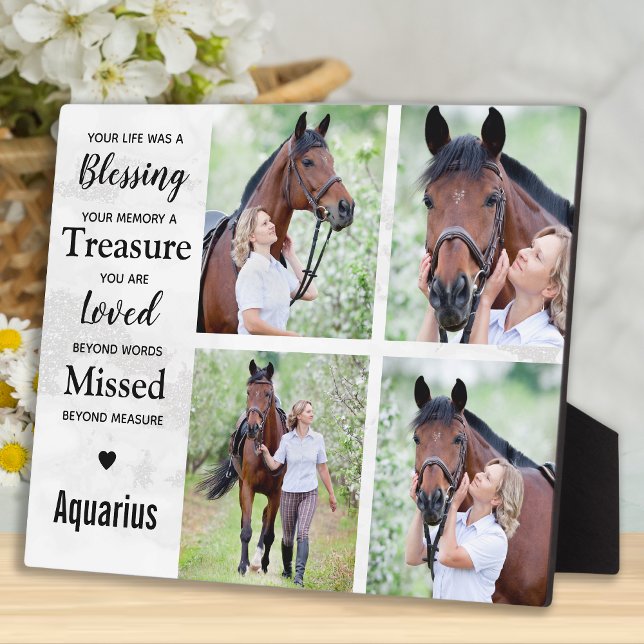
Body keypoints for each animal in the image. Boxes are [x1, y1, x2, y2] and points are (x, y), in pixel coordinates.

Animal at [197, 360, 287, 575]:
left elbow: (269, 533)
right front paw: (242, 565)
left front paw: (263, 564)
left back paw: (258, 561)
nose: (253, 427)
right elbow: (245, 530)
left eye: (267, 394)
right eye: (248, 392)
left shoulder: (276, 493)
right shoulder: (247, 487)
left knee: (265, 519)